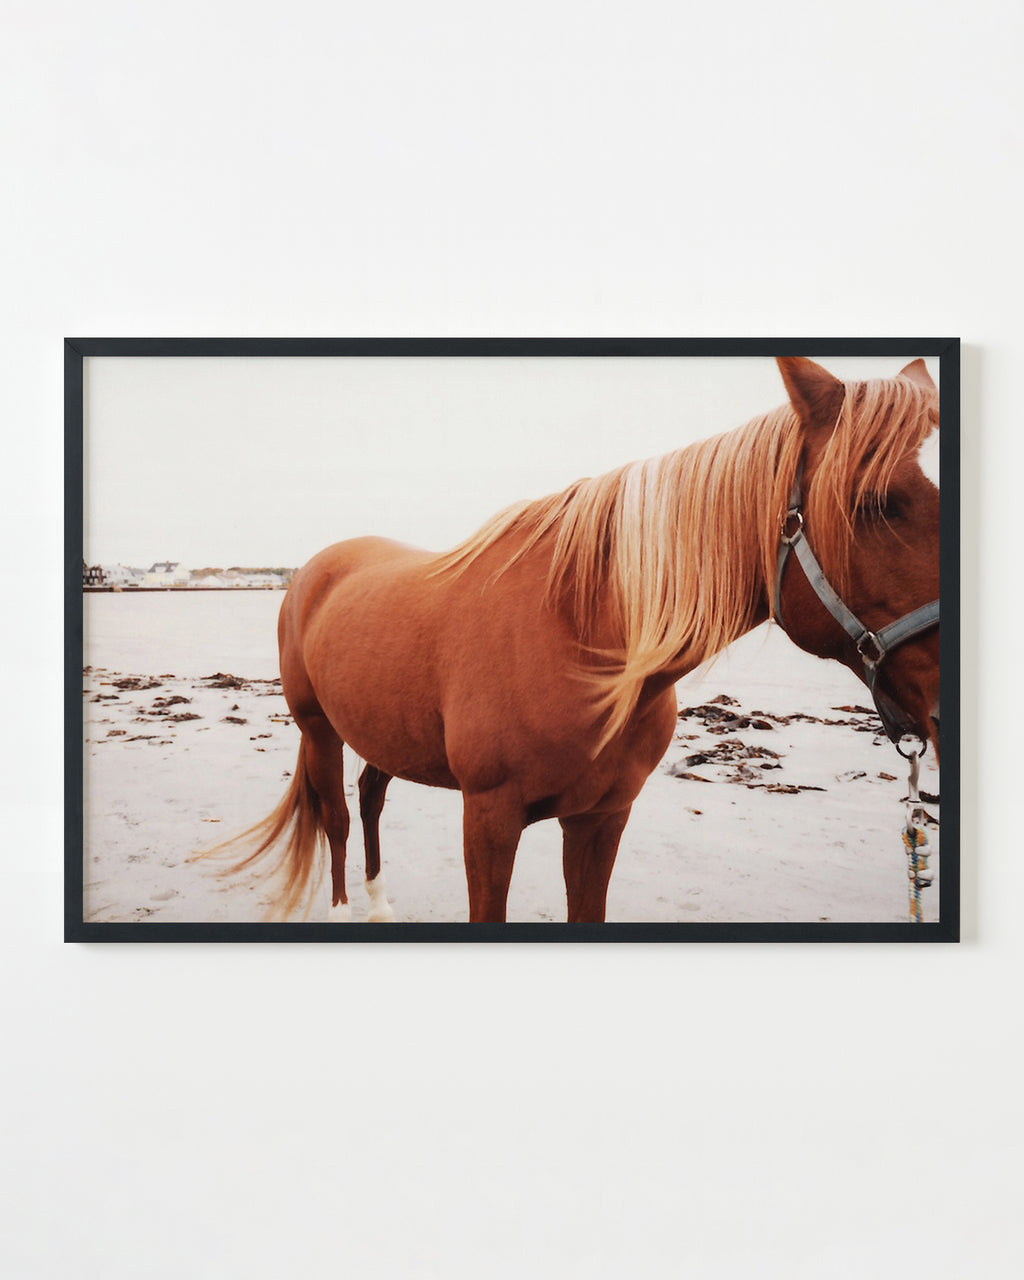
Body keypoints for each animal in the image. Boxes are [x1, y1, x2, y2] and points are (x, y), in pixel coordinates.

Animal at [216, 355, 941, 923]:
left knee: (370, 798)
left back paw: (379, 904)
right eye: (877, 502)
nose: (942, 711)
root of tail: (316, 569)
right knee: (337, 817)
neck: (584, 640)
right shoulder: (489, 820)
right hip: (318, 728)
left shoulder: (600, 819)